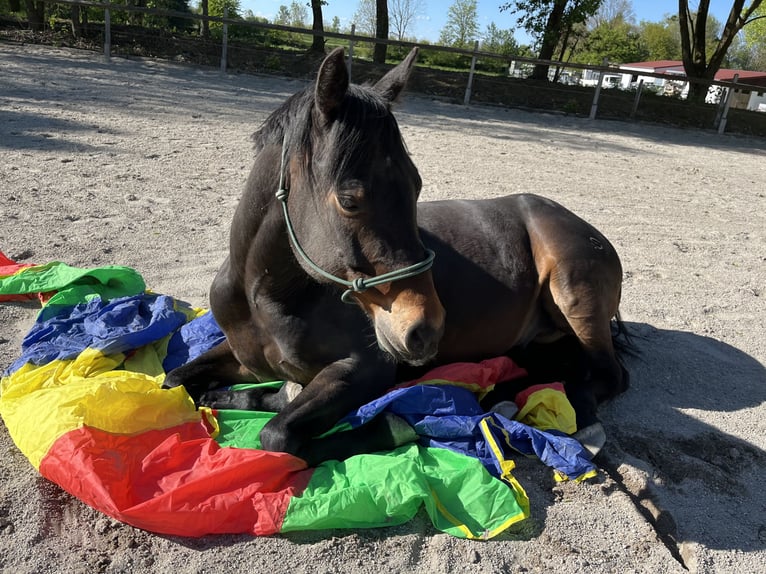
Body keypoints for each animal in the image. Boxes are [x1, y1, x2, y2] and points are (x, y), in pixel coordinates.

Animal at [163, 47, 628, 466]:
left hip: (574, 298)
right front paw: (225, 394)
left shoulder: (367, 367)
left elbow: (278, 434)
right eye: (350, 199)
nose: (425, 329)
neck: (264, 296)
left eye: (416, 185)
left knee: (606, 375)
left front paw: (392, 425)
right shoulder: (243, 357)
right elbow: (175, 381)